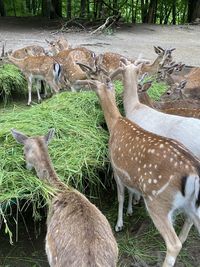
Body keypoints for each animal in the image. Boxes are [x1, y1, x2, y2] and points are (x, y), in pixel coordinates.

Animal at [74, 77, 200, 267]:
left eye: (94, 87)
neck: (115, 123)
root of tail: (193, 173)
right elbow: (131, 191)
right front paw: (131, 208)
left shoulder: (116, 168)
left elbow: (120, 196)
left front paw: (119, 224)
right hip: (192, 205)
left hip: (158, 202)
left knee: (173, 244)